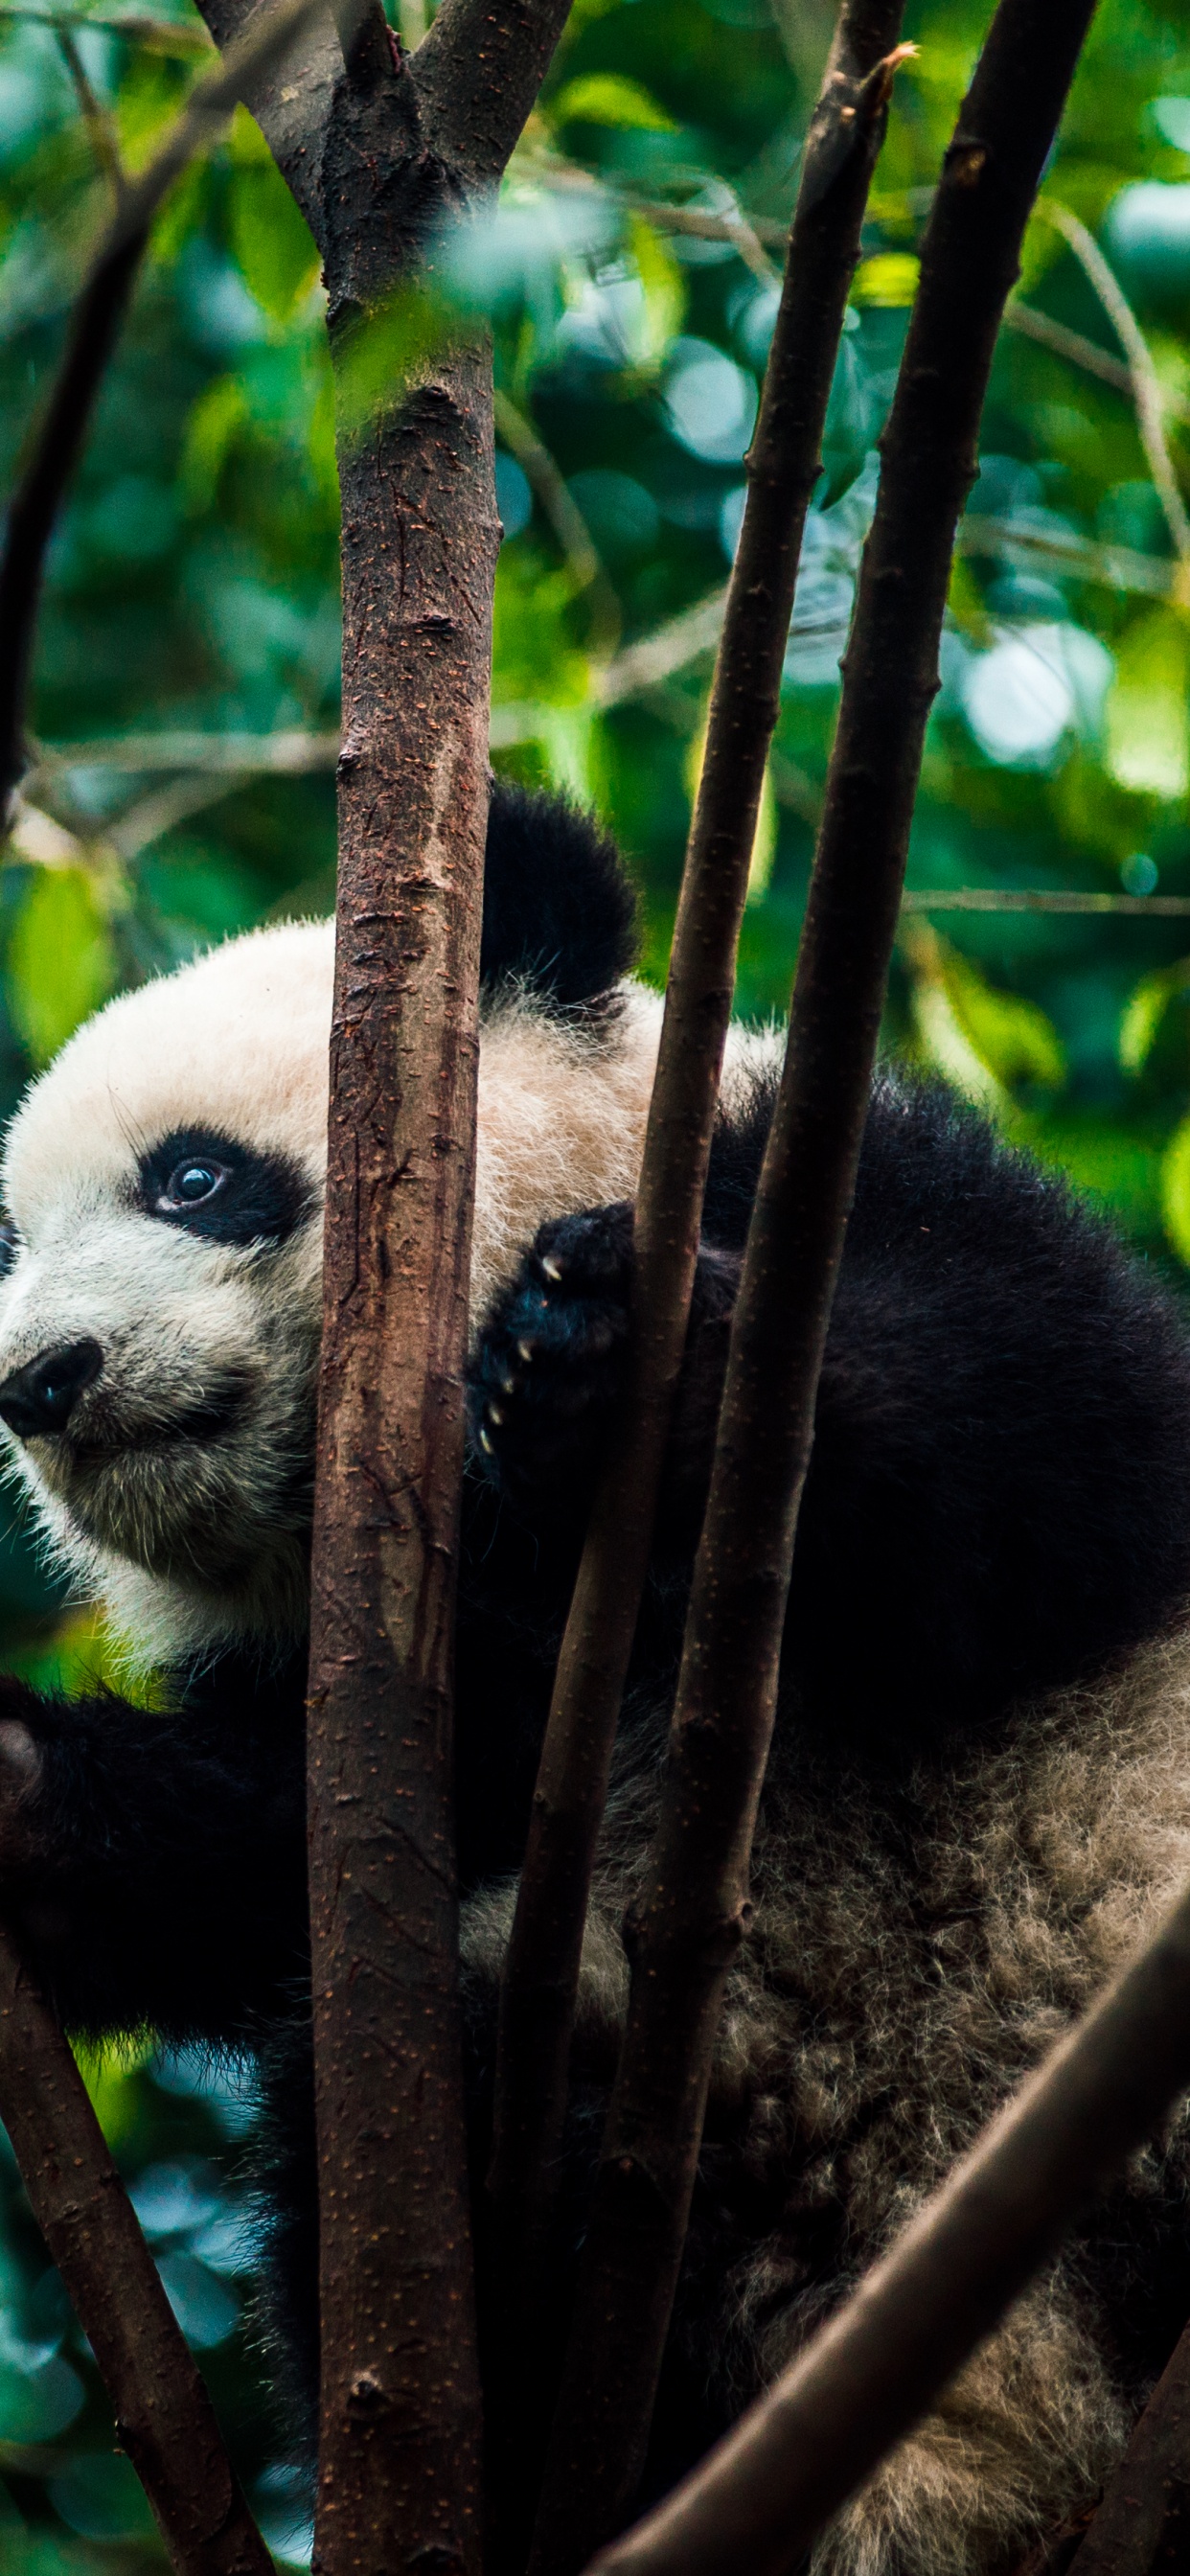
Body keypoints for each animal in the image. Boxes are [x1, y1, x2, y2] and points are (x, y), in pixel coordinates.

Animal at [0, 781, 1189, 2576]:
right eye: (9, 1245)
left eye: (193, 1178)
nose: (40, 1380)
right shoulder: (410, 1677)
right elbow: (264, 1851)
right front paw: (18, 1788)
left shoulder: (841, 1183)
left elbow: (1047, 1455)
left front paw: (624, 1368)